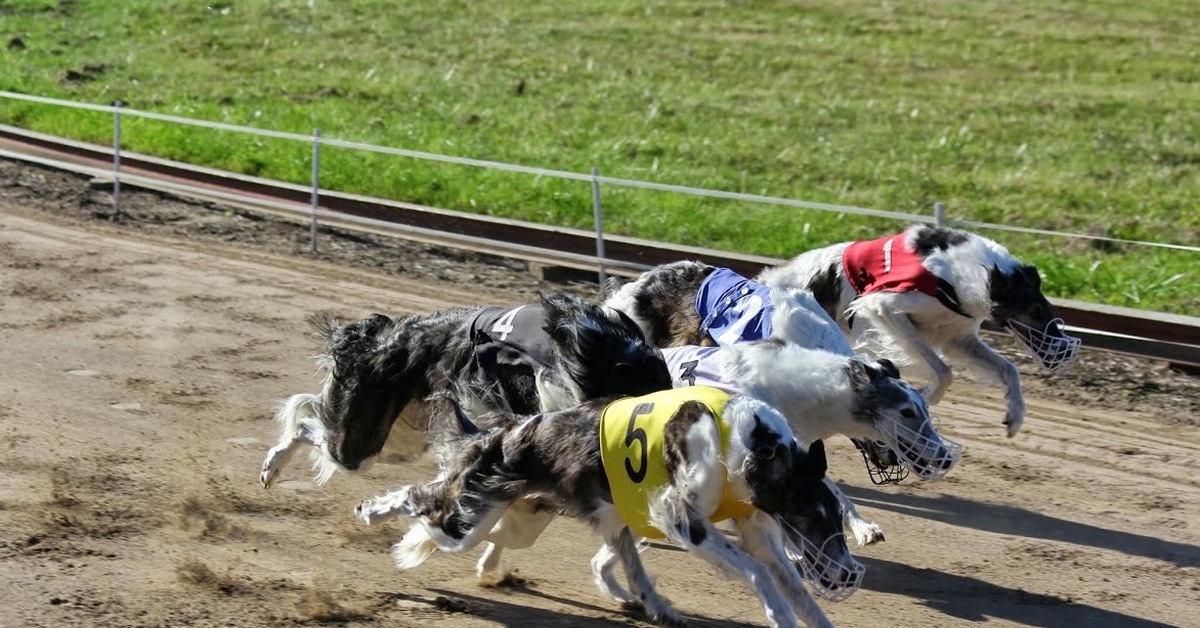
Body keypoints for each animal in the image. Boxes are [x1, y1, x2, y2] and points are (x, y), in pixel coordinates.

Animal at [350, 393, 859, 628]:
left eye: (837, 518)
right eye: (813, 516)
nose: (845, 575)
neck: (745, 442)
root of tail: (504, 432)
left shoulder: (755, 529)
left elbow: (797, 589)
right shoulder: (681, 519)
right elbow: (758, 574)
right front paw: (778, 615)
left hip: (522, 521)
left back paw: (653, 605)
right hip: (469, 522)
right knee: (420, 499)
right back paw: (370, 513)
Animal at [758, 224, 1080, 437]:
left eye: (1051, 311)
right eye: (1036, 312)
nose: (1064, 351)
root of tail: (771, 279)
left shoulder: (957, 337)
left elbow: (1009, 369)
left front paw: (1015, 416)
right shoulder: (885, 307)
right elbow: (944, 370)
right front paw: (927, 395)